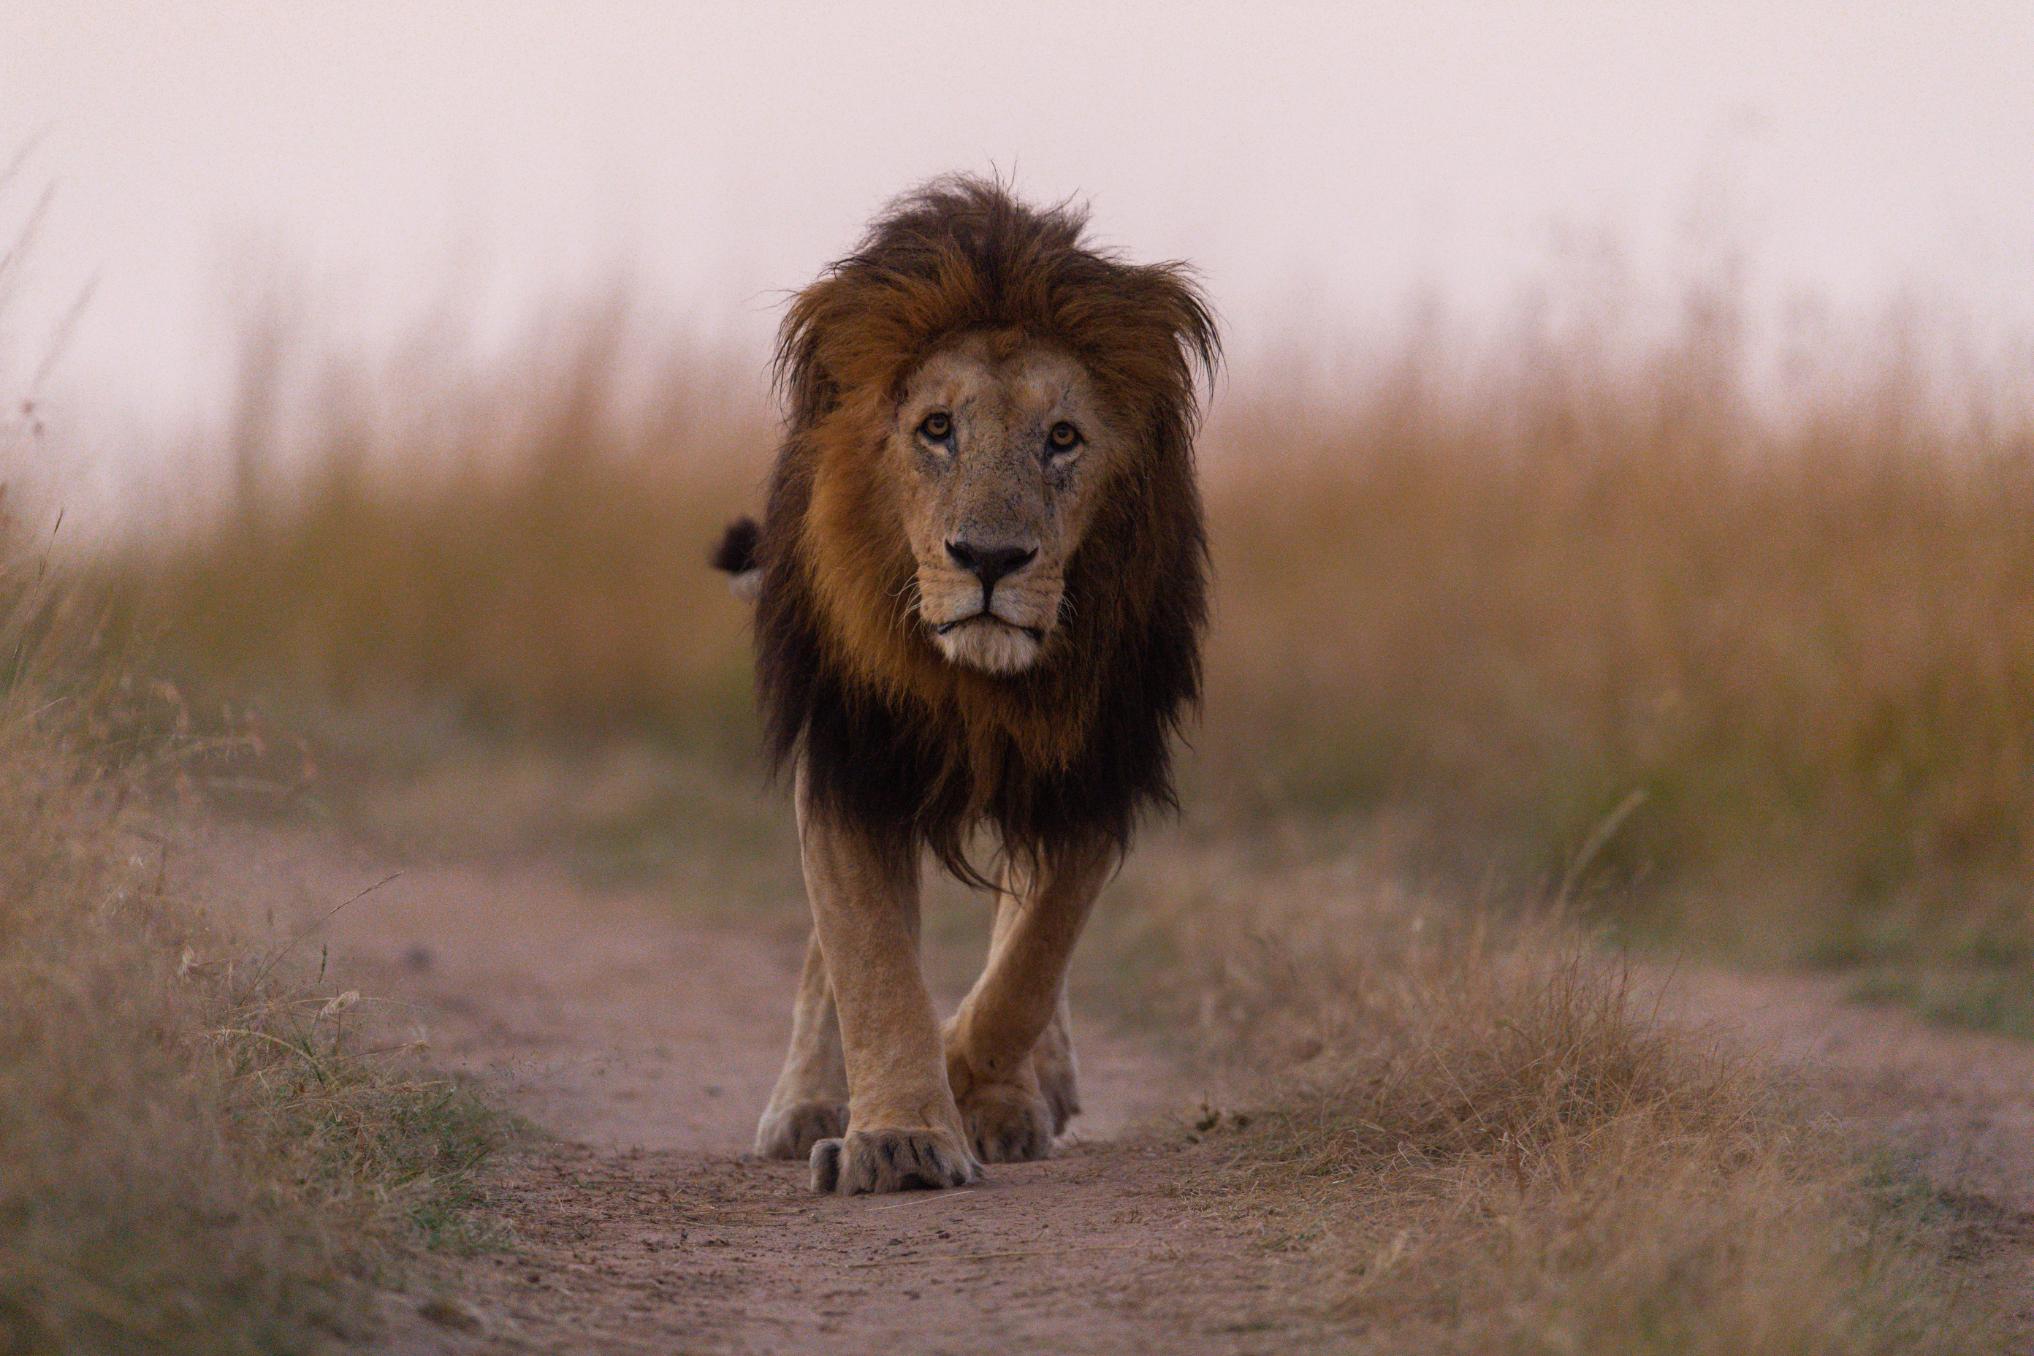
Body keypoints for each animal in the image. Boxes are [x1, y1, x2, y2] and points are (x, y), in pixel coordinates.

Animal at [713, 176, 1217, 1194]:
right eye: (936, 430)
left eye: (1062, 439)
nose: (988, 558)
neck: (982, 687)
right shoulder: (852, 748)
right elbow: (869, 957)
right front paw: (900, 1136)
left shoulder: (1093, 758)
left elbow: (1032, 957)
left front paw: (970, 1081)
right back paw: (808, 1102)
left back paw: (1027, 1092)